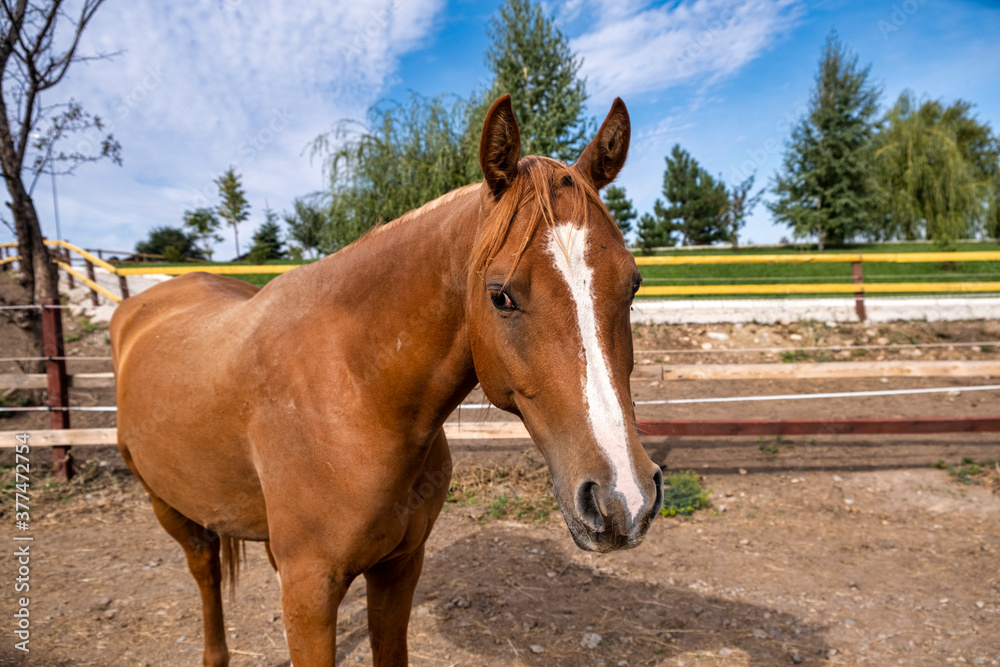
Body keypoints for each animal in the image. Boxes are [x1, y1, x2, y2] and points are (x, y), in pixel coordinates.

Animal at [110, 95, 662, 667]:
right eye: (501, 296)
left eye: (633, 285)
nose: (624, 498)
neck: (355, 394)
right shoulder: (308, 593)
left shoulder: (399, 566)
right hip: (167, 504)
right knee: (205, 569)